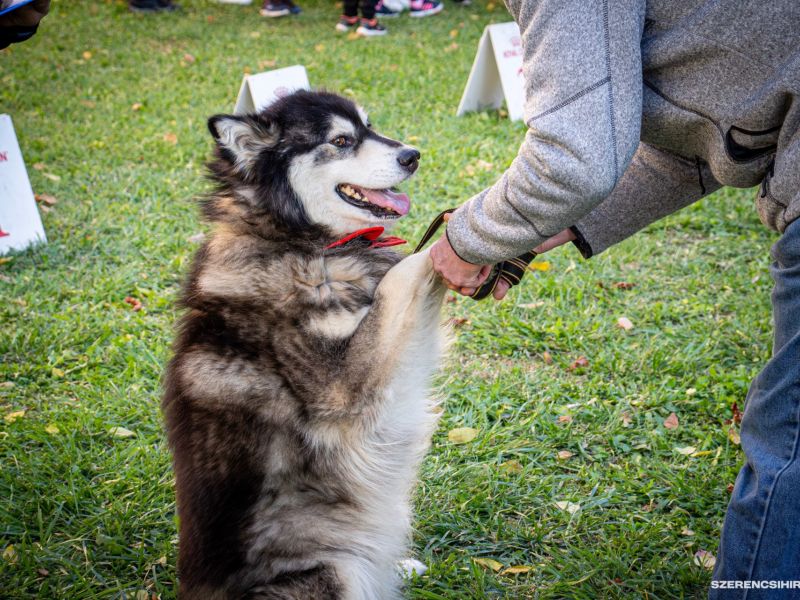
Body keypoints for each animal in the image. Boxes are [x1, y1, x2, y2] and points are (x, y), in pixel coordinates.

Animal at [162, 90, 450, 600]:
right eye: (340, 140)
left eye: (370, 127)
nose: (412, 155)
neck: (294, 241)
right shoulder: (342, 388)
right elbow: (403, 275)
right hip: (333, 571)